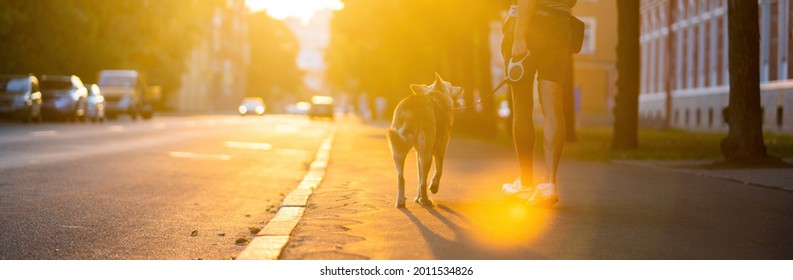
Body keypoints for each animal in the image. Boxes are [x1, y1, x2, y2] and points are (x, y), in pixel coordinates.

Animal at [386, 72, 460, 208]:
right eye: (451, 86)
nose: (461, 88)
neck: (436, 96)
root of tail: (410, 107)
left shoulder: (418, 154)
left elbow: (419, 177)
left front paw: (417, 198)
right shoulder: (441, 149)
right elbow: (438, 171)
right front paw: (433, 188)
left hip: (398, 151)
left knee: (401, 178)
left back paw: (401, 201)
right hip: (427, 154)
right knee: (423, 182)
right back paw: (426, 200)